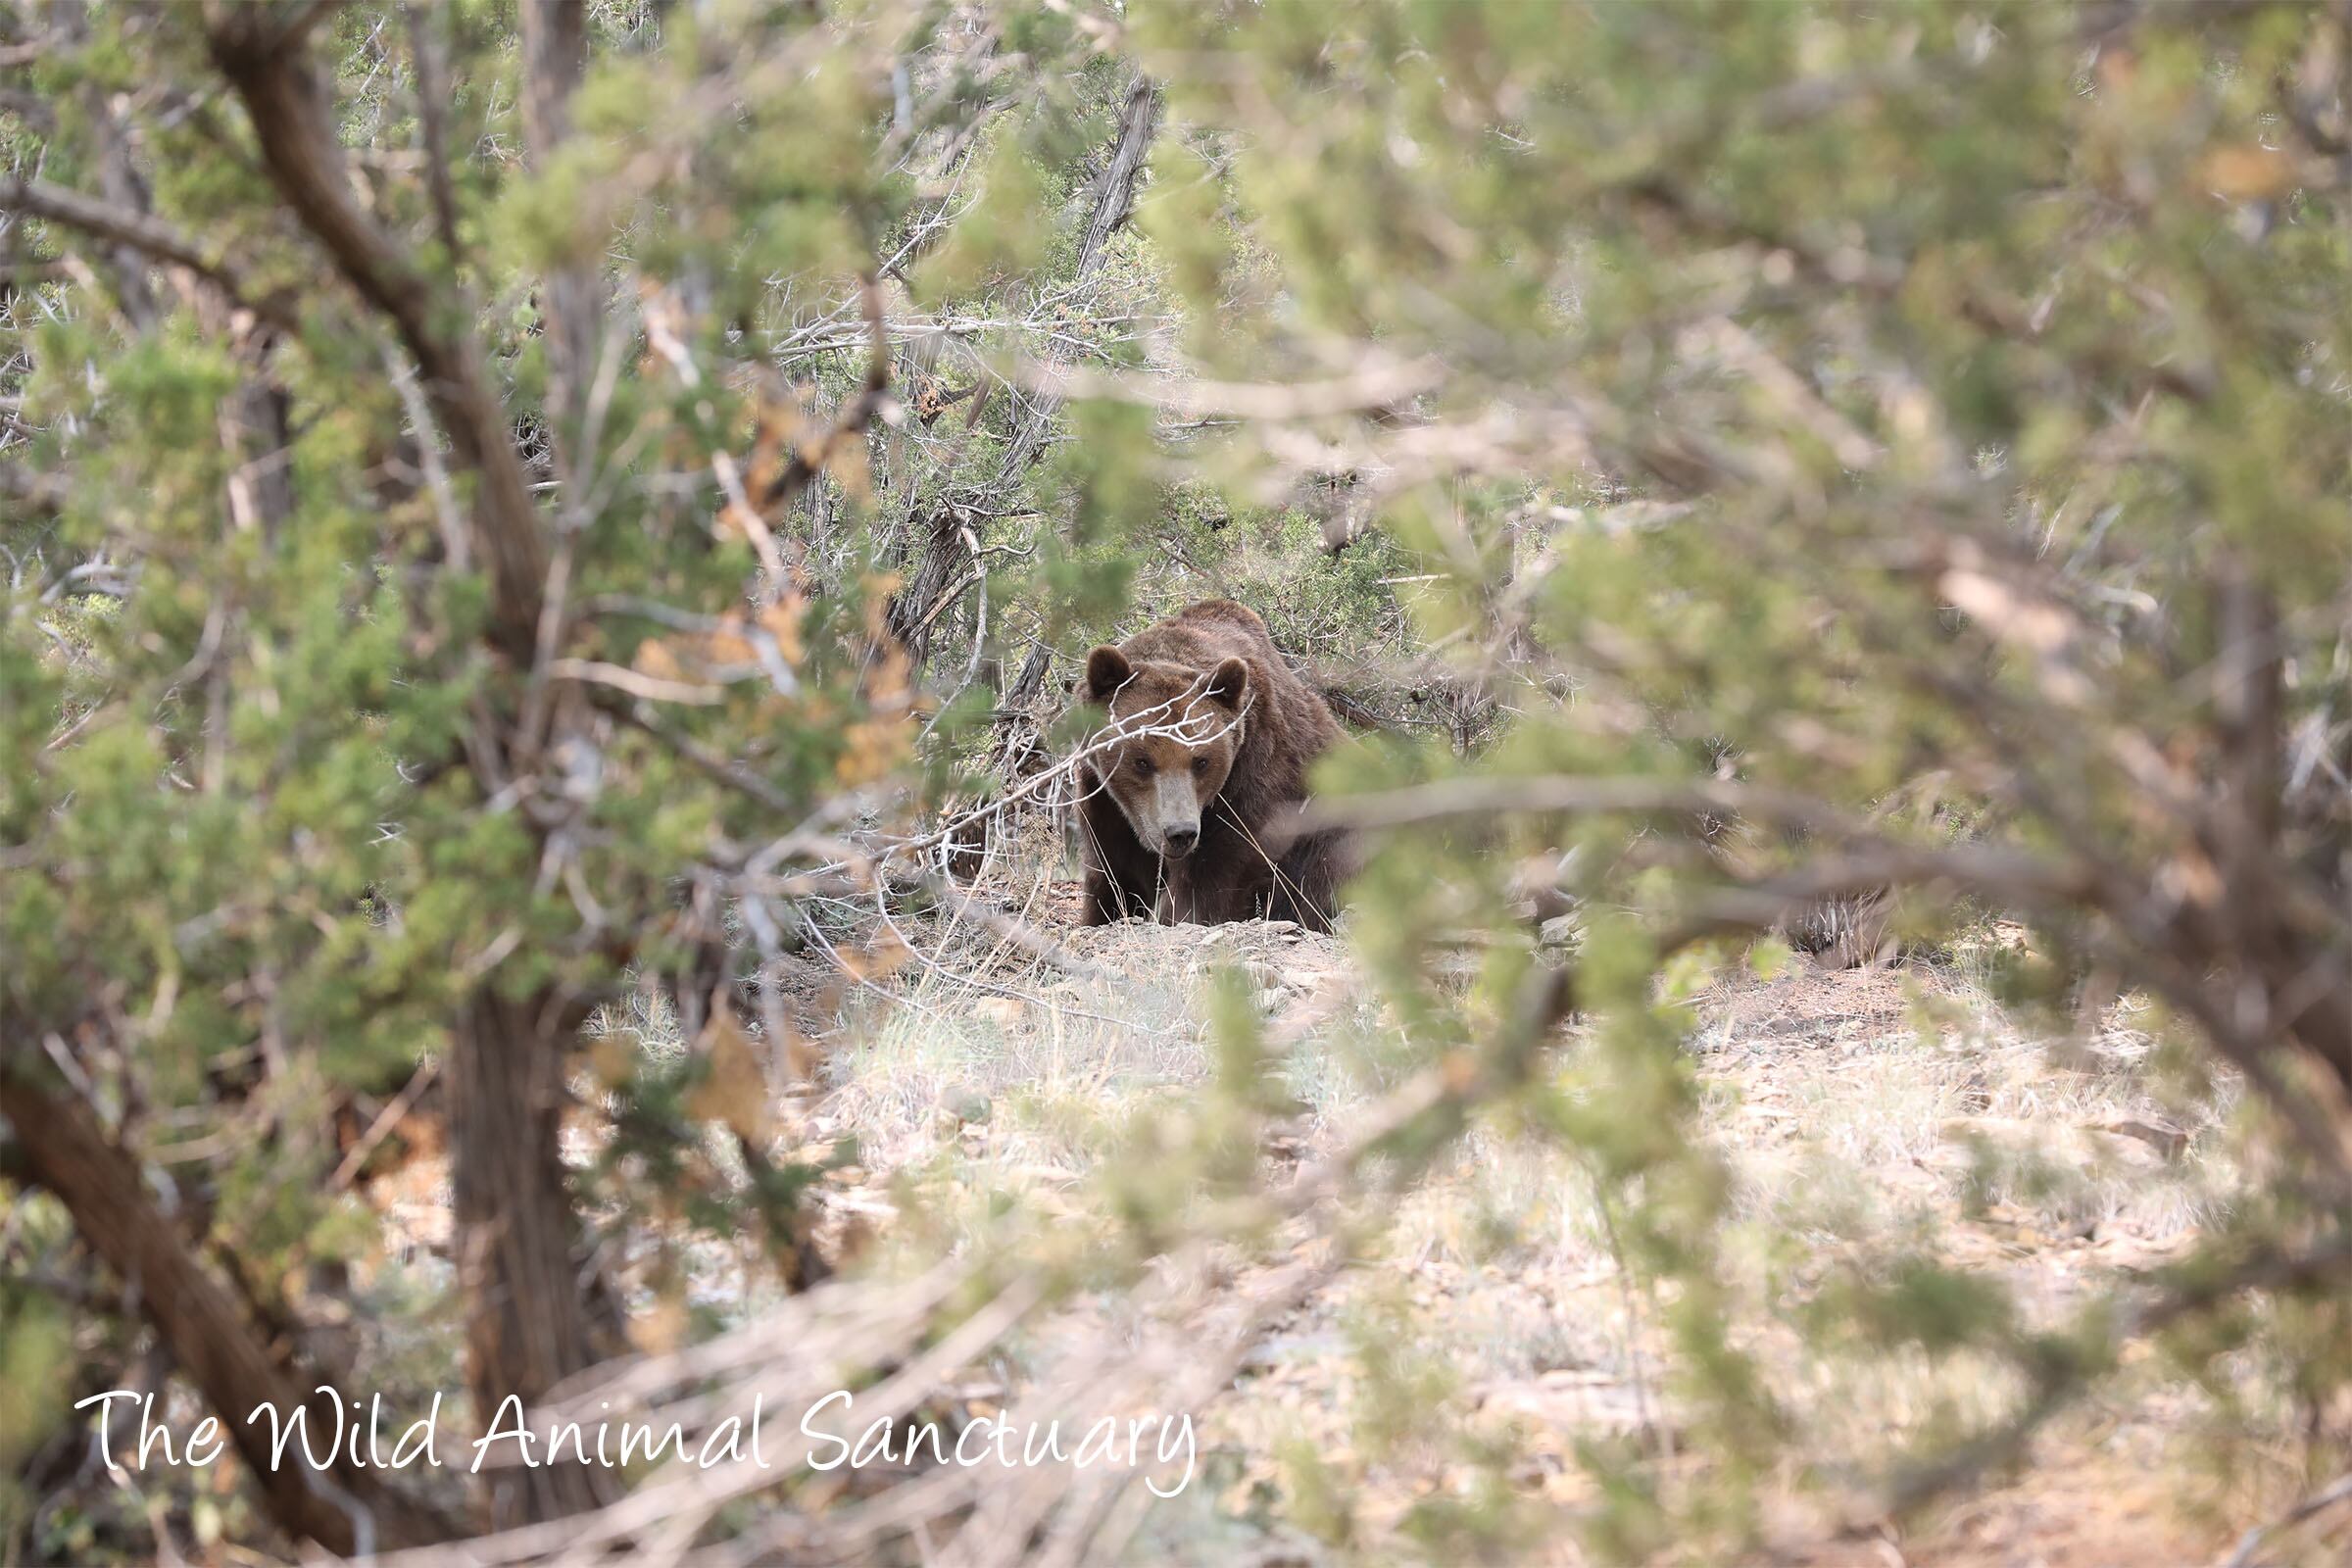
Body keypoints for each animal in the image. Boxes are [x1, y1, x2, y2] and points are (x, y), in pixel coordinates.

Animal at [1077, 594, 1354, 926]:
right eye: (1142, 761)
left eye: (1201, 761)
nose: (1180, 833)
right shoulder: (1103, 798)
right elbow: (1112, 871)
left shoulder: (1255, 780)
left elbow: (1215, 873)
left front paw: (1180, 914)